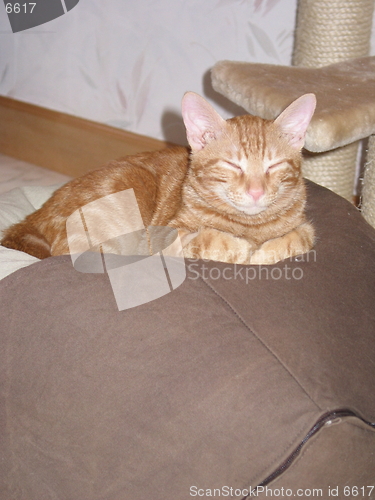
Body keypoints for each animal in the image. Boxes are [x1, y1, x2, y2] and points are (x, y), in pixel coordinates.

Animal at [0, 92, 318, 268]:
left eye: (274, 165)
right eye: (231, 164)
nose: (255, 192)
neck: (251, 224)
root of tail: (37, 214)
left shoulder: (305, 227)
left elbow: (295, 240)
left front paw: (263, 251)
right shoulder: (168, 236)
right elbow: (214, 240)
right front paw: (245, 249)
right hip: (129, 185)